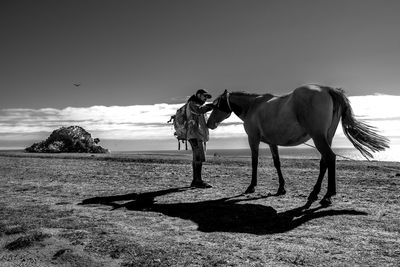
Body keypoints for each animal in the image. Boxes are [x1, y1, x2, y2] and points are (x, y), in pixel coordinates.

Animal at [208, 84, 390, 207]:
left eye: (216, 105)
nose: (209, 123)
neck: (253, 106)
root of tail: (327, 89)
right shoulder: (273, 142)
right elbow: (277, 163)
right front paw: (281, 188)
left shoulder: (253, 139)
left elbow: (254, 162)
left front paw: (251, 186)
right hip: (326, 137)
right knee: (324, 162)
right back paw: (314, 193)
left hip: (318, 137)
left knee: (330, 158)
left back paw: (327, 195)